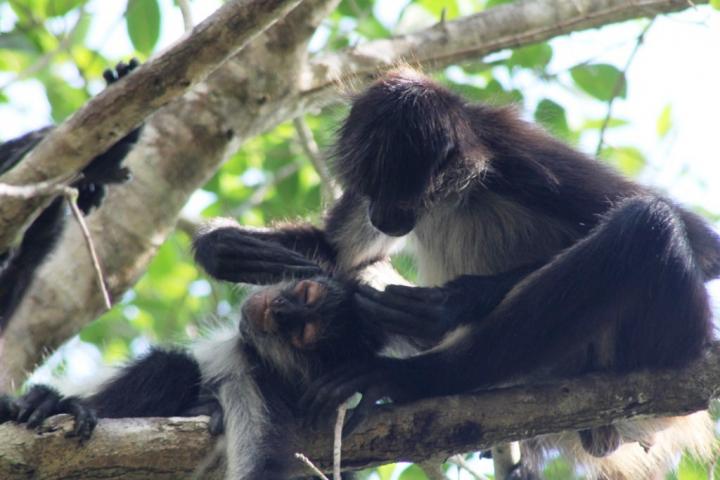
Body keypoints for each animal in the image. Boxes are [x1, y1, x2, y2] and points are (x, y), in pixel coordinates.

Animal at [192, 69, 720, 479]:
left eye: (399, 194)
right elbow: (340, 253)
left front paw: (450, 304)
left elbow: (702, 247)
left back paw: (405, 378)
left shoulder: (520, 160)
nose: (381, 216)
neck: (454, 193)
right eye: (370, 190)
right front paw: (226, 248)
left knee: (647, 224)